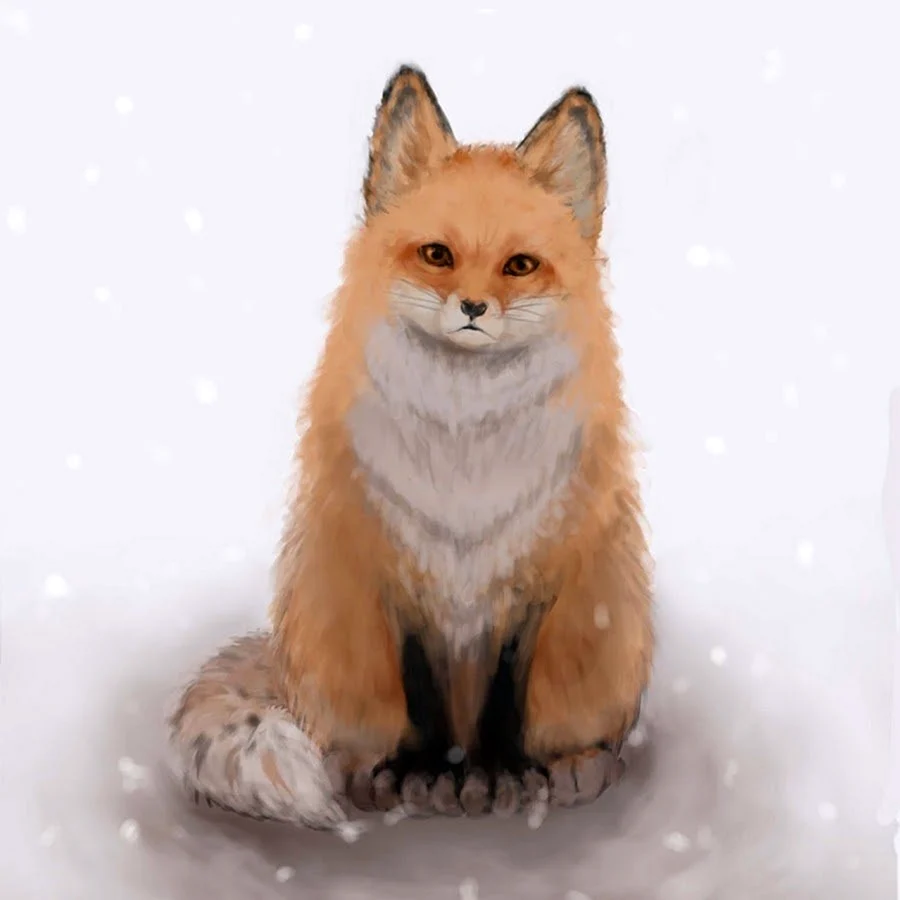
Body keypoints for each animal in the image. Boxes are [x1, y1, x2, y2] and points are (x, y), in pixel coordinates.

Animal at [168, 64, 653, 832]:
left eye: (520, 265)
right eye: (437, 256)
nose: (473, 308)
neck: (465, 457)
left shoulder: (535, 578)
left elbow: (506, 699)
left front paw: (500, 774)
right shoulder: (393, 572)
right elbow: (419, 694)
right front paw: (422, 774)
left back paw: (577, 766)